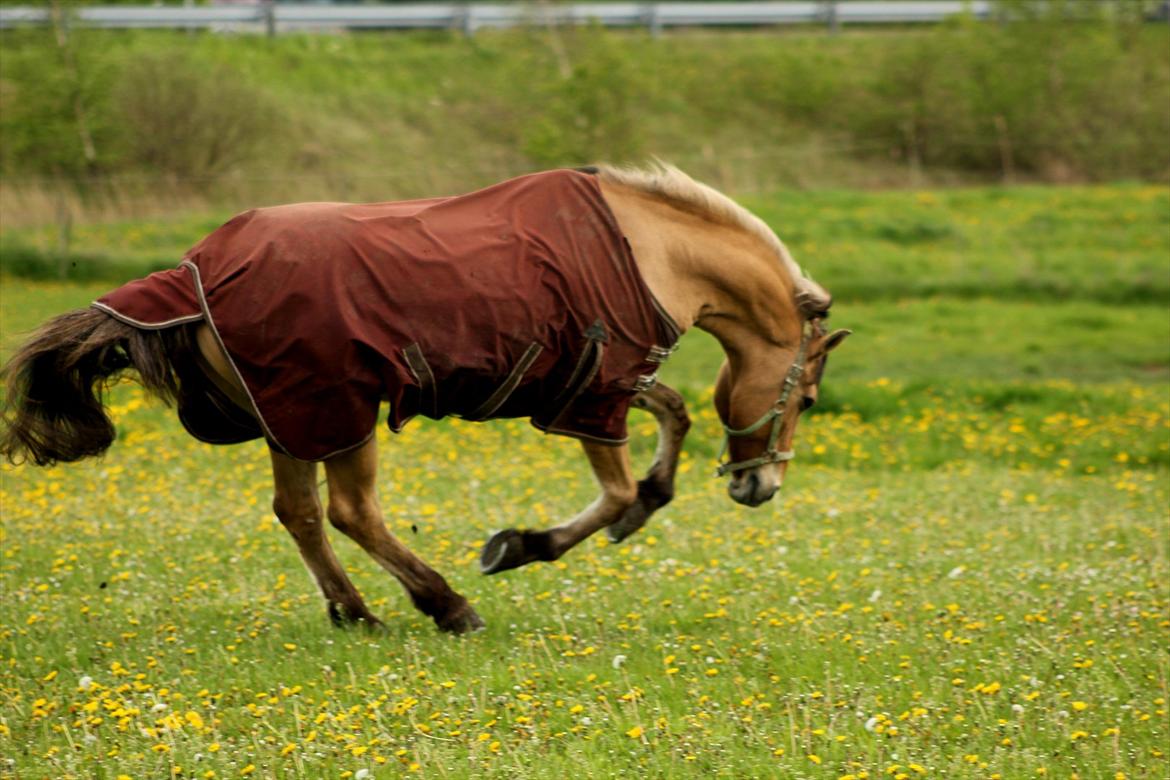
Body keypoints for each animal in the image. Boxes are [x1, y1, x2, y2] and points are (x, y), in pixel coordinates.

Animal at [0, 164, 847, 636]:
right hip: (341, 415)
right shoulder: (594, 394)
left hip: (291, 417)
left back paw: (356, 612)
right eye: (806, 396)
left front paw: (644, 504)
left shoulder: (595, 383)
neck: (647, 247)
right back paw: (445, 604)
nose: (760, 486)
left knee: (301, 514)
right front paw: (522, 544)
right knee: (351, 513)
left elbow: (673, 414)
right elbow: (612, 489)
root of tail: (194, 275)